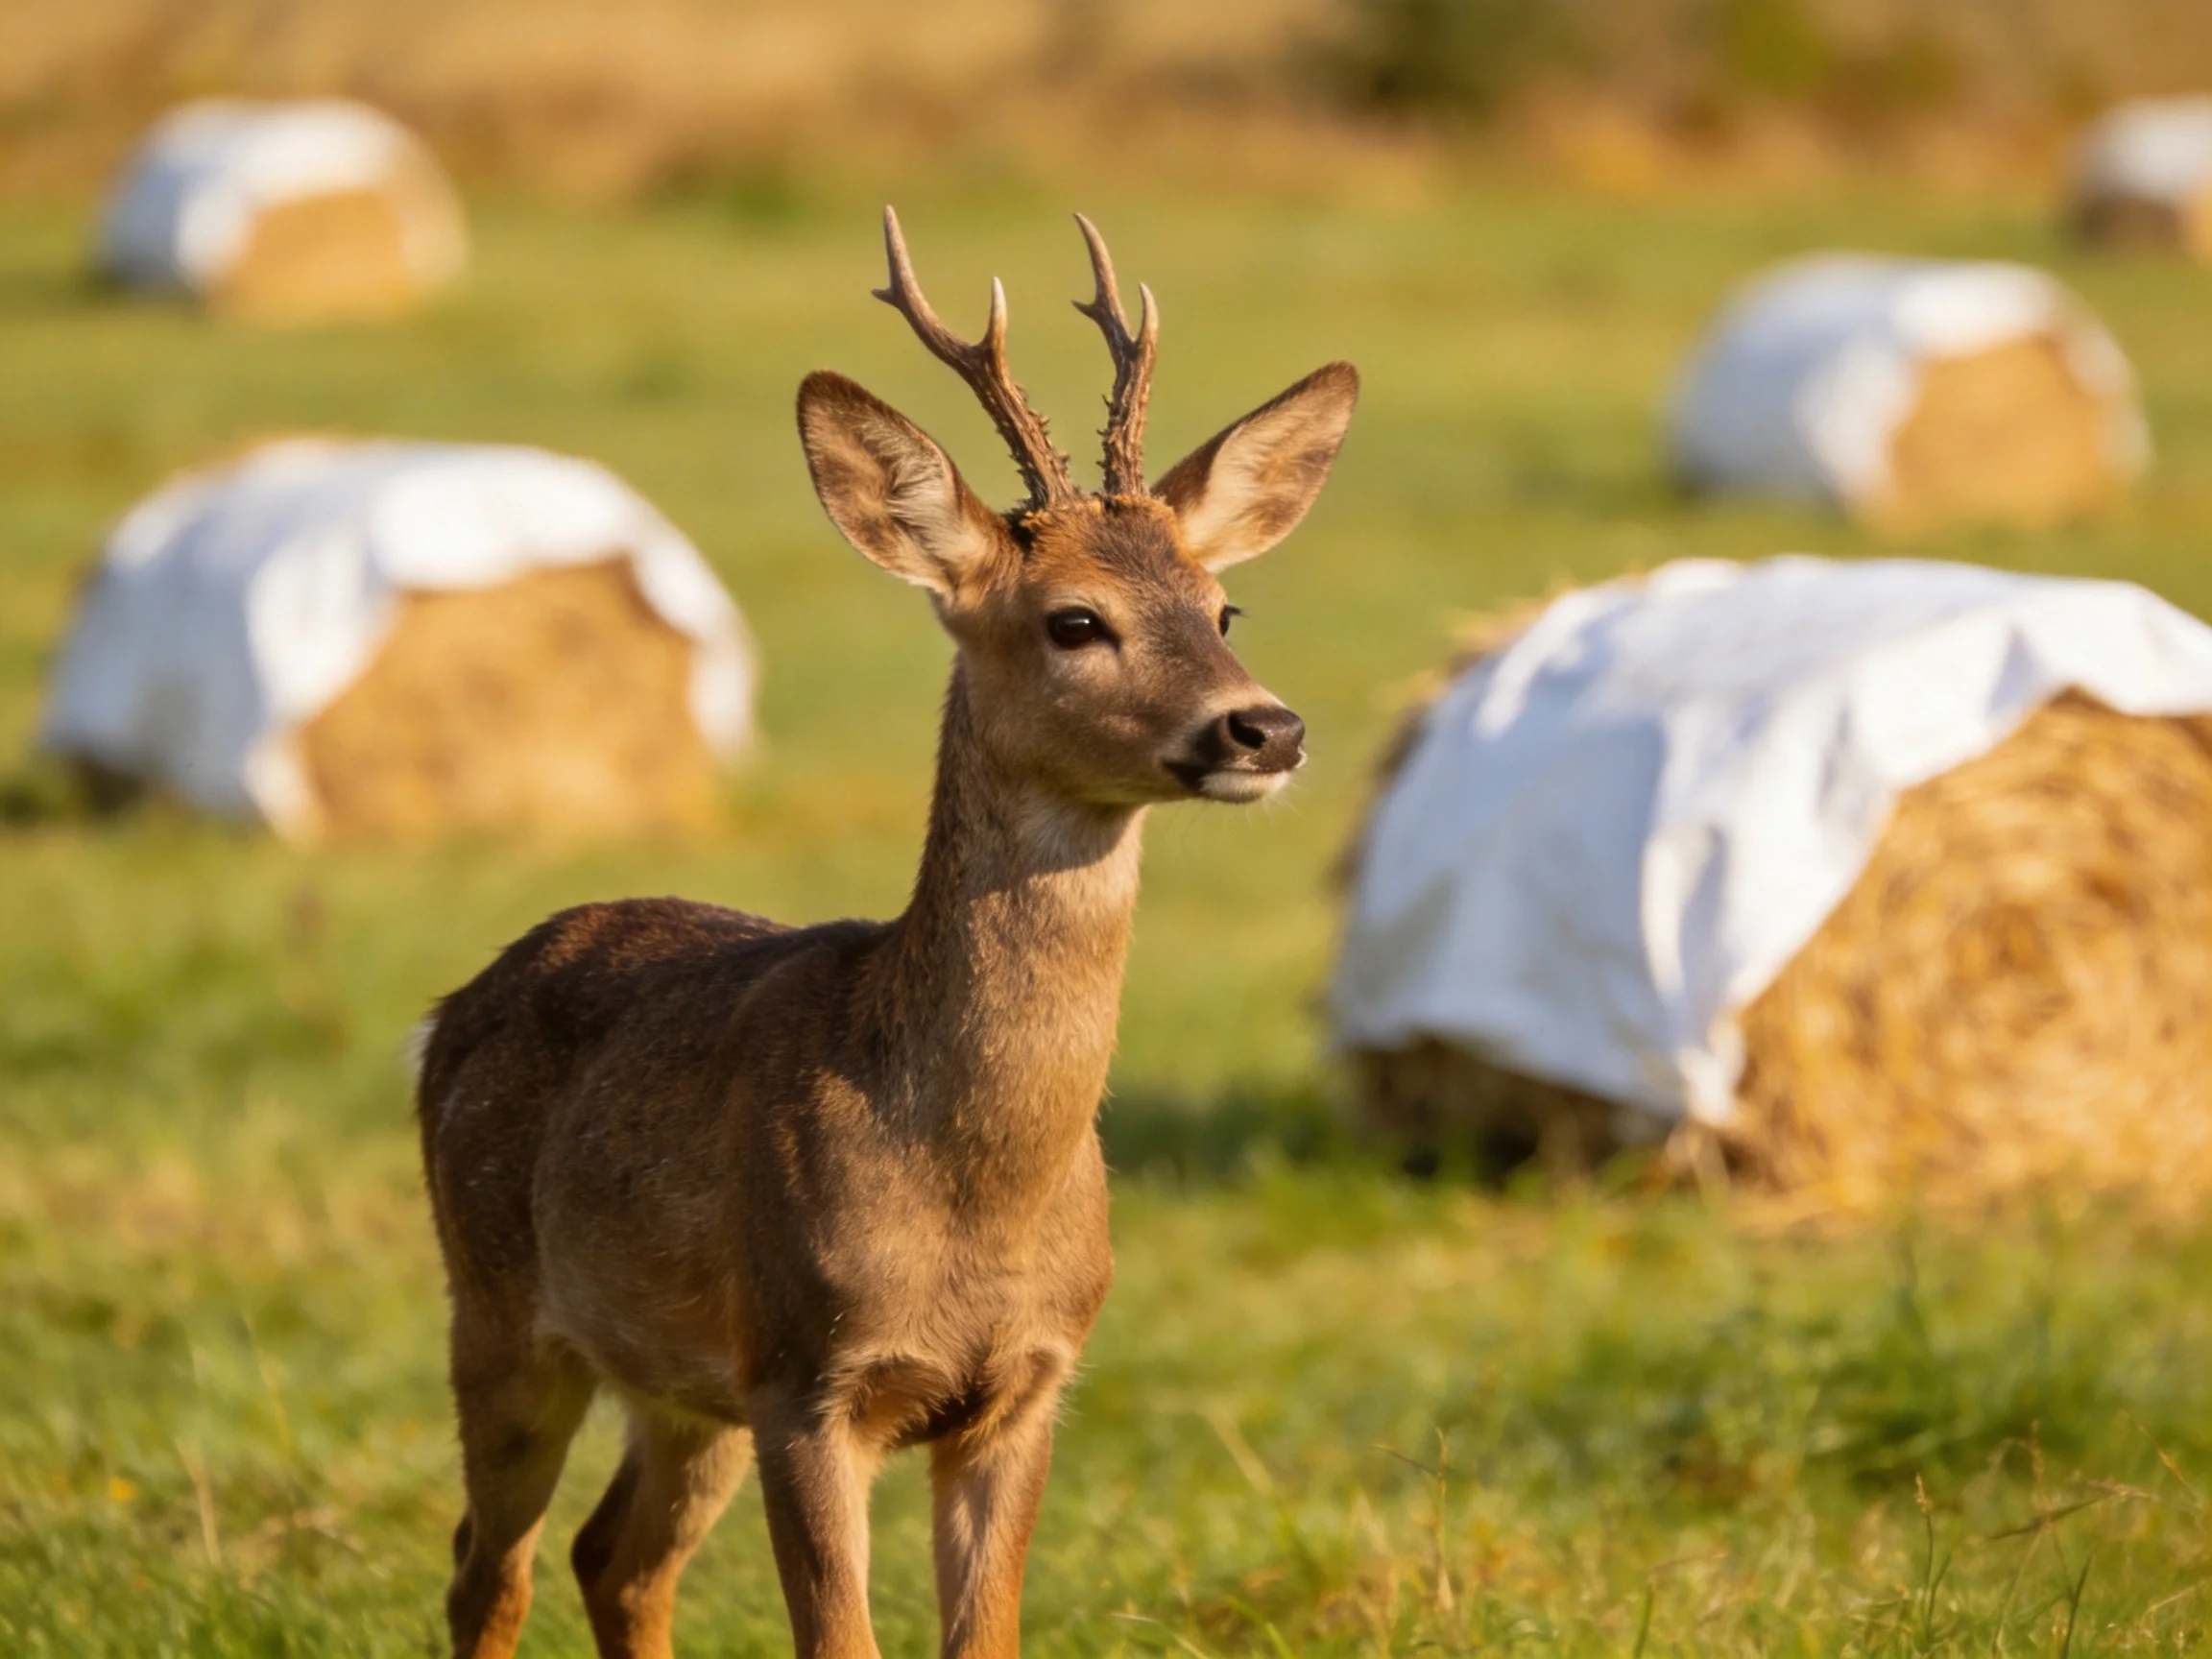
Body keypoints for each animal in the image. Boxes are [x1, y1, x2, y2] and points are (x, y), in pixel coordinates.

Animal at [415, 206, 1358, 1659]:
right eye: (1074, 619)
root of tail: (454, 1007)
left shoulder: (1028, 1384)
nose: (1266, 727)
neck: (974, 1182)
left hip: (685, 1386)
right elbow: (839, 1639)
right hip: (503, 1307)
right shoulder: (809, 1376)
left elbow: (987, 1637)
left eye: (1222, 607)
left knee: (613, 1558)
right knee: (487, 1565)